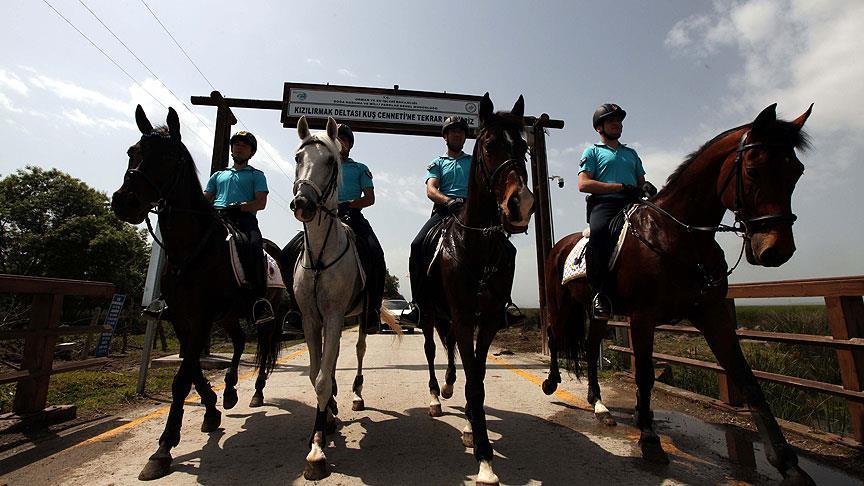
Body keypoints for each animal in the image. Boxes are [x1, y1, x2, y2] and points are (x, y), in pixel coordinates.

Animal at [111, 105, 283, 481]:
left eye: (168, 158)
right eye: (133, 152)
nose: (125, 203)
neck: (192, 248)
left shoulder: (202, 316)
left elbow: (182, 378)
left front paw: (163, 449)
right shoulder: (180, 316)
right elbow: (192, 370)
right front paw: (211, 411)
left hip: (262, 314)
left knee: (262, 351)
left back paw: (255, 393)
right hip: (230, 314)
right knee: (238, 343)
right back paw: (230, 391)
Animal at [289, 115, 400, 480]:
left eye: (330, 162)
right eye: (299, 158)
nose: (303, 204)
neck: (321, 254)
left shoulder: (336, 315)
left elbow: (323, 379)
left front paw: (316, 451)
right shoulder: (311, 319)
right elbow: (315, 375)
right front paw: (327, 420)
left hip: (361, 317)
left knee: (360, 349)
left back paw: (355, 394)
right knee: (334, 358)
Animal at [417, 93, 534, 485]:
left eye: (524, 147)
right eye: (488, 146)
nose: (521, 205)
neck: (477, 247)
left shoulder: (488, 320)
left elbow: (478, 379)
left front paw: (473, 426)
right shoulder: (464, 316)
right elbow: (471, 379)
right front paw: (484, 459)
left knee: (450, 350)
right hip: (428, 314)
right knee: (430, 350)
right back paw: (436, 398)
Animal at [542, 104, 815, 485]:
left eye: (796, 171)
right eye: (753, 170)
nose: (776, 250)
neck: (681, 236)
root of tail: (560, 245)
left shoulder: (712, 315)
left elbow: (748, 380)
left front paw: (789, 463)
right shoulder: (643, 317)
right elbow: (644, 376)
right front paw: (649, 439)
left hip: (599, 311)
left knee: (592, 346)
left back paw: (599, 405)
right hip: (559, 303)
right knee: (555, 336)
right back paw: (552, 382)